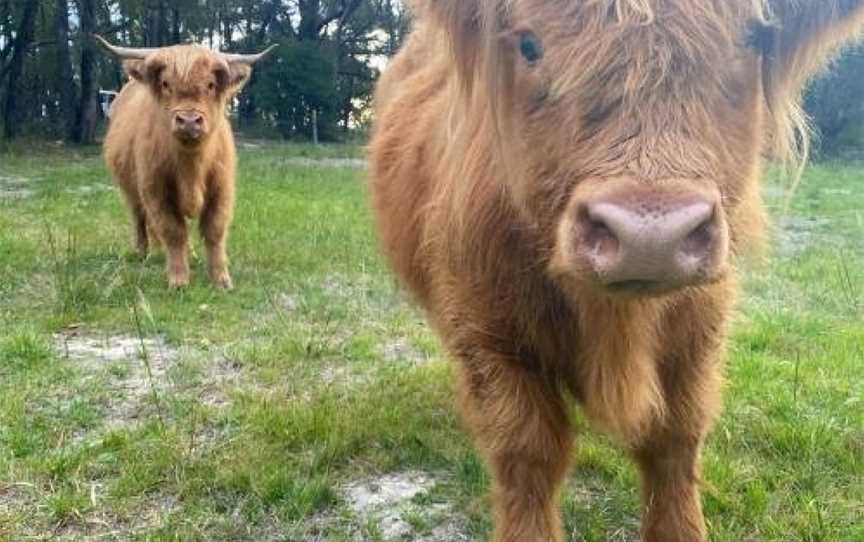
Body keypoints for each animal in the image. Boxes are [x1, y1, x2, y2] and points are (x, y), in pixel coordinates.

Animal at [98, 36, 276, 292]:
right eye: (165, 83)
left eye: (211, 84)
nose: (189, 121)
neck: (191, 168)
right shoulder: (156, 190)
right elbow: (173, 231)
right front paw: (179, 280)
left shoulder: (222, 189)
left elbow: (214, 231)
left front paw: (221, 279)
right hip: (129, 188)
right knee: (139, 217)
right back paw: (142, 252)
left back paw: (190, 255)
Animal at [370, 2, 864, 540]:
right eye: (528, 45)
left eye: (750, 40)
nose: (651, 235)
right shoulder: (489, 337)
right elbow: (527, 455)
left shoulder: (699, 336)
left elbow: (675, 443)